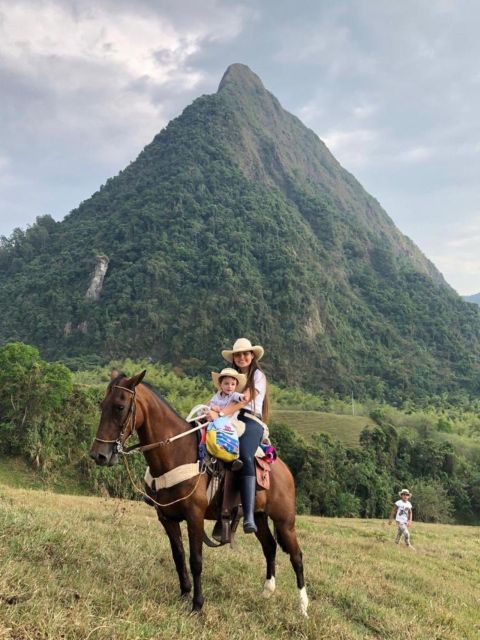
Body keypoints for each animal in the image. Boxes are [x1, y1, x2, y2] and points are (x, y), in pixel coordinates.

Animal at [89, 370, 308, 616]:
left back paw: (303, 606)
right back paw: (267, 592)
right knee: (269, 547)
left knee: (296, 556)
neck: (177, 452)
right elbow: (178, 555)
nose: (99, 455)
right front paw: (184, 593)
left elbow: (196, 560)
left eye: (119, 407)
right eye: (102, 404)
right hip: (259, 516)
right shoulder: (166, 517)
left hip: (285, 521)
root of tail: (284, 469)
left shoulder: (195, 516)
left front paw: (197, 604)